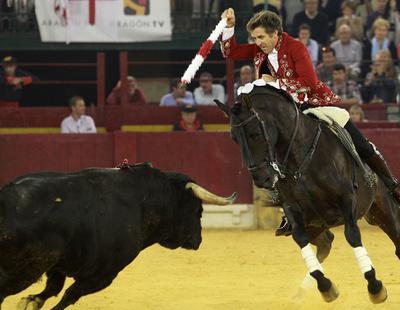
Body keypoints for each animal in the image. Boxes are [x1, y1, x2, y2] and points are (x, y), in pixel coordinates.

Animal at [0, 163, 234, 308]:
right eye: (198, 210)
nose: (198, 240)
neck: (143, 202)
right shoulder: (104, 274)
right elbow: (69, 295)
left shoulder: (59, 266)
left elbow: (53, 289)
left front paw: (29, 303)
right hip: (24, 270)